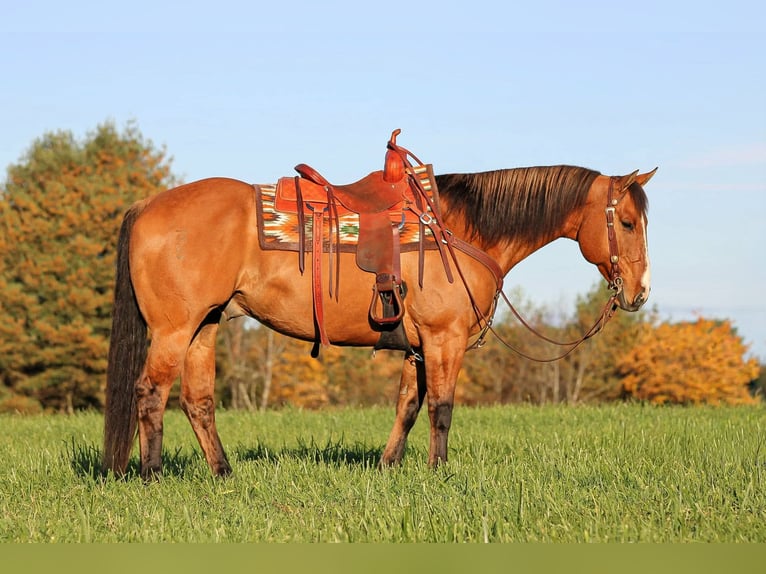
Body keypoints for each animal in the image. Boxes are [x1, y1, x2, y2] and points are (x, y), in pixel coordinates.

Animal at [102, 148, 655, 480]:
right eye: (627, 222)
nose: (640, 293)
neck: (459, 229)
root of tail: (147, 204)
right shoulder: (444, 339)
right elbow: (441, 409)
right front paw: (438, 473)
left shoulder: (418, 347)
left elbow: (407, 406)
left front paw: (390, 467)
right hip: (174, 330)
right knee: (151, 394)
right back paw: (151, 475)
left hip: (205, 325)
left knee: (197, 401)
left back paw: (223, 474)